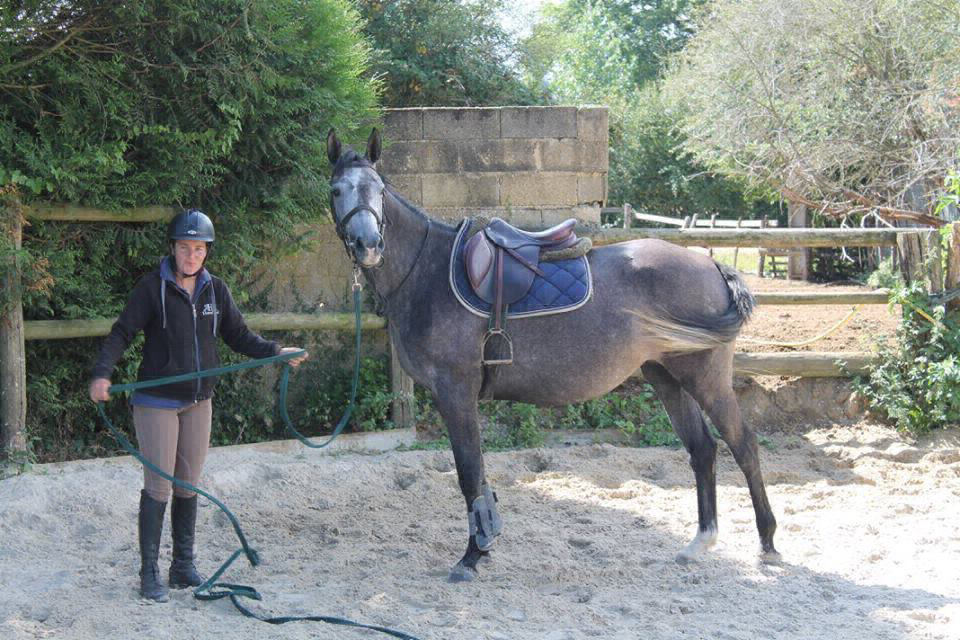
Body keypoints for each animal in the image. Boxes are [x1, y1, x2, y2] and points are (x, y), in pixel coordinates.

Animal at [330, 129, 780, 580]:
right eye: (337, 190)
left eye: (379, 190)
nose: (368, 244)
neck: (429, 272)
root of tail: (712, 266)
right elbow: (476, 474)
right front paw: (483, 546)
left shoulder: (455, 392)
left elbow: (469, 475)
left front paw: (472, 555)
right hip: (666, 376)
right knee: (702, 449)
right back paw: (700, 542)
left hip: (704, 378)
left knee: (743, 445)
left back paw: (767, 542)